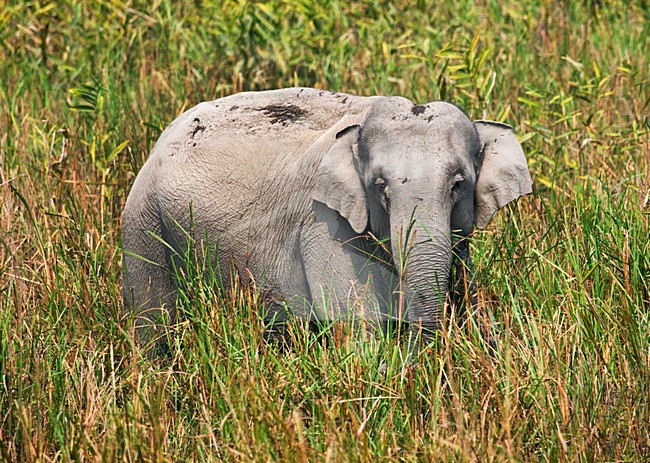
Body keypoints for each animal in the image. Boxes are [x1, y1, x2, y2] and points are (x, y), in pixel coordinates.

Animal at [122, 87, 532, 354]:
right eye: (379, 186)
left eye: (458, 185)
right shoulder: (325, 225)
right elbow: (356, 326)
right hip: (143, 226)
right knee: (153, 324)